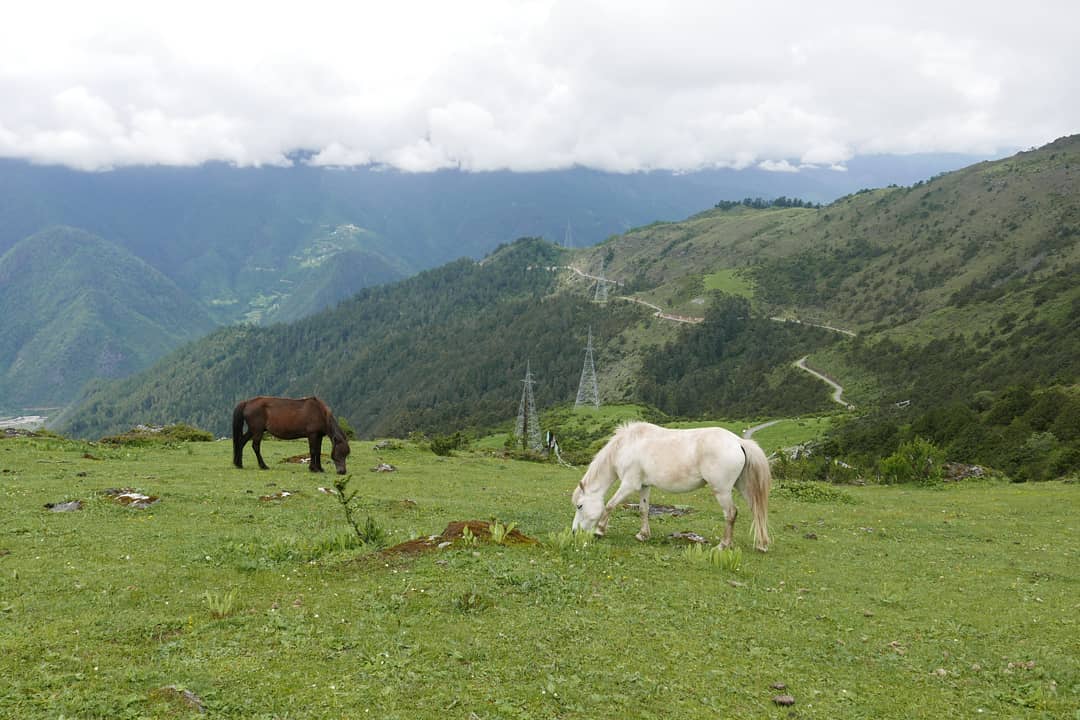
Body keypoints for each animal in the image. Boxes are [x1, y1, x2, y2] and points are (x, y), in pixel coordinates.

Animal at [570, 423, 773, 552]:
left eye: (580, 506)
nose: (573, 532)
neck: (627, 445)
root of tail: (739, 441)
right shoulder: (644, 486)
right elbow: (644, 509)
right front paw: (643, 535)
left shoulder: (629, 484)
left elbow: (610, 505)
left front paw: (599, 530)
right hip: (743, 487)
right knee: (756, 511)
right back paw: (761, 544)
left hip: (722, 491)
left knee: (731, 513)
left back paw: (723, 545)